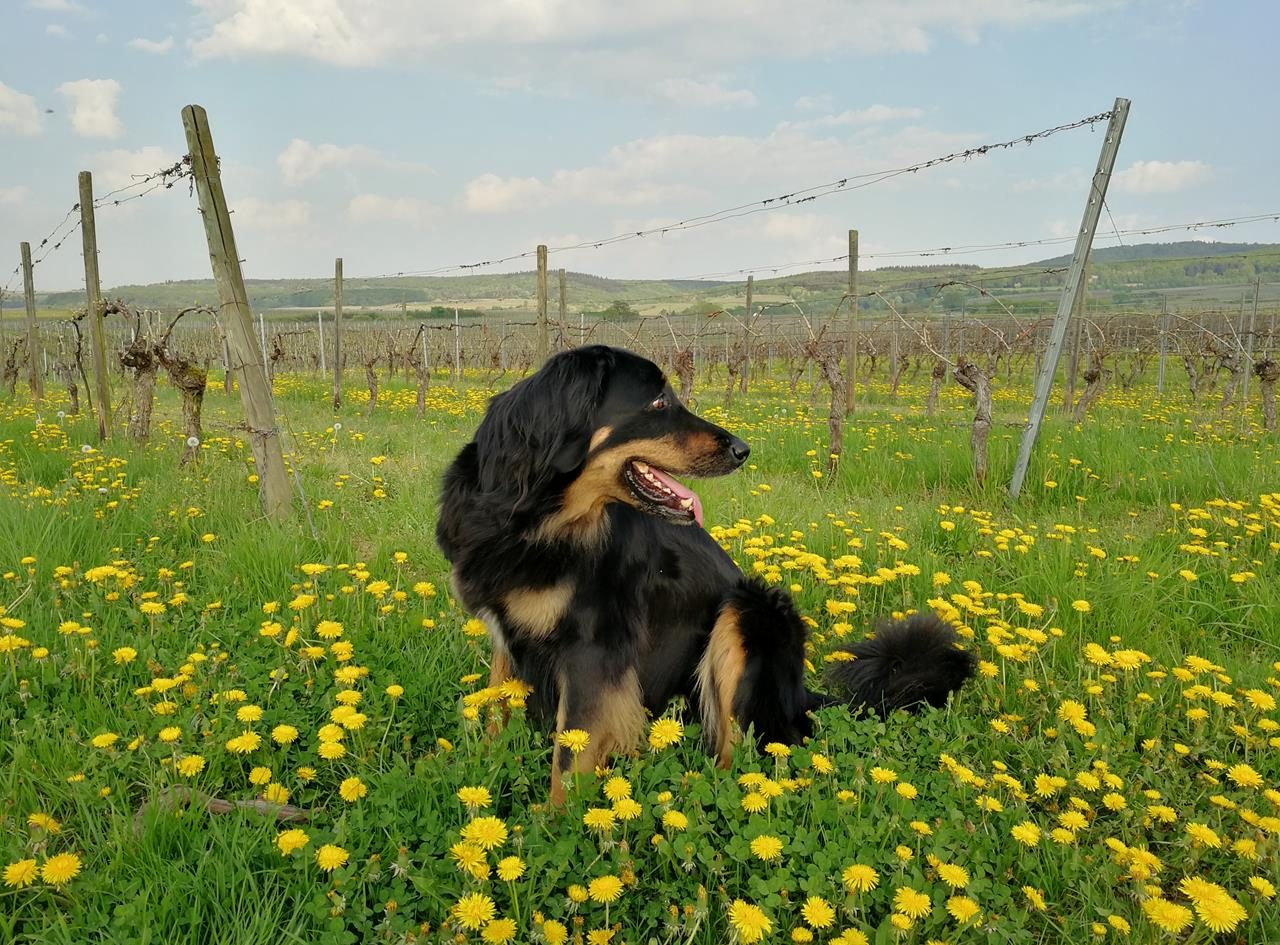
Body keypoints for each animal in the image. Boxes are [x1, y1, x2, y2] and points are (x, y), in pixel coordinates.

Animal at [437, 343, 967, 799]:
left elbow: (568, 764)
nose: (743, 449)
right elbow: (496, 716)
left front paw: (558, 829)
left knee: (742, 749)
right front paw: (485, 781)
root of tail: (801, 695)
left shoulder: (593, 649)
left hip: (749, 611)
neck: (532, 515)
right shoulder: (508, 636)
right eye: (657, 401)